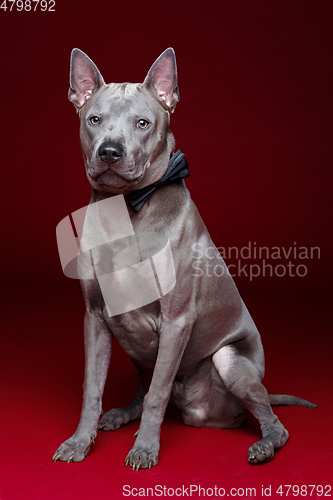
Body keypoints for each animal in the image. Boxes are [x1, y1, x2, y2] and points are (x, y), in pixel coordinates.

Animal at [52, 46, 314, 468]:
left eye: (142, 123)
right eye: (94, 120)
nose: (109, 152)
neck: (127, 210)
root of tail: (201, 415)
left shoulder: (176, 321)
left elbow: (158, 394)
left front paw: (145, 449)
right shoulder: (94, 318)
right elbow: (91, 388)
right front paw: (79, 442)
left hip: (230, 361)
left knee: (271, 420)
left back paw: (263, 445)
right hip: (137, 353)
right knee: (142, 393)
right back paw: (121, 414)